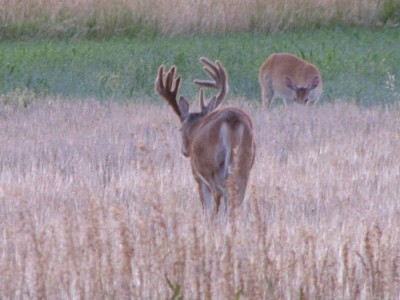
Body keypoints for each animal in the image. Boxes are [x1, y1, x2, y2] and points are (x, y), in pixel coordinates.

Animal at [155, 57, 255, 219]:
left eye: (180, 129)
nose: (184, 150)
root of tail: (232, 121)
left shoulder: (197, 175)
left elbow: (205, 206)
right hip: (244, 162)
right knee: (236, 197)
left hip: (209, 165)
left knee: (218, 195)